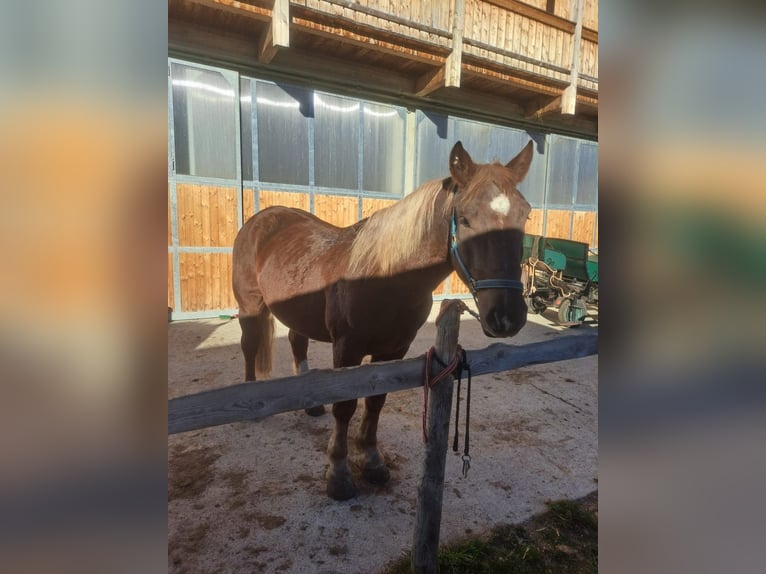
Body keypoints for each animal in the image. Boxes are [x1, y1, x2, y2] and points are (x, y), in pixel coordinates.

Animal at [232, 140, 533, 500]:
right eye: (465, 218)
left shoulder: (394, 349)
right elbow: (345, 406)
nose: (507, 316)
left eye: (525, 214)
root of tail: (261, 219)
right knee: (249, 346)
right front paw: (339, 475)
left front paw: (373, 462)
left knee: (296, 341)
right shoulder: (347, 349)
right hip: (250, 306)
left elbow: (375, 403)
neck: (386, 276)